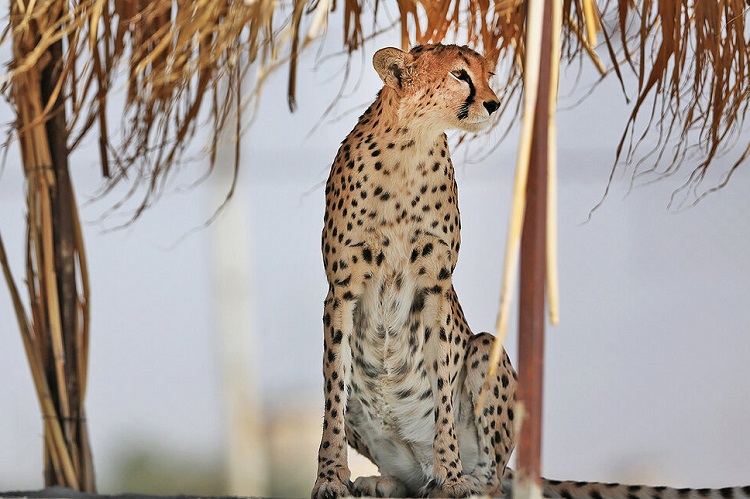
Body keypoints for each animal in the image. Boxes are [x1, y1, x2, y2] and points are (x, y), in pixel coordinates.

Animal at [310, 44, 750, 499]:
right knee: (393, 458)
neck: (410, 145)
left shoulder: (435, 288)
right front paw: (330, 477)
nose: (493, 103)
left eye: (488, 74)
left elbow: (442, 397)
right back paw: (384, 481)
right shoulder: (340, 290)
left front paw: (451, 478)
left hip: (485, 348)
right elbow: (332, 395)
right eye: (459, 75)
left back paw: (461, 479)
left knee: (492, 476)